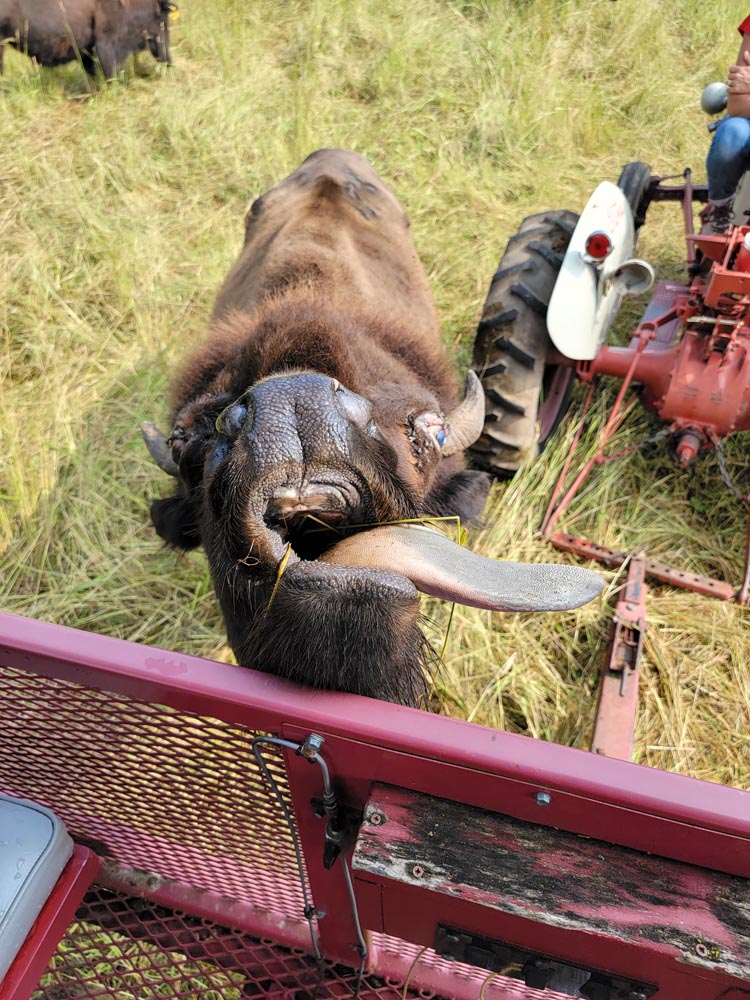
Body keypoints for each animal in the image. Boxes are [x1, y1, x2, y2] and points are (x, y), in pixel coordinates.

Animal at [0, 0, 177, 78]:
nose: (169, 61)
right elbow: (109, 70)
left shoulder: (86, 48)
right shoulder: (106, 43)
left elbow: (91, 69)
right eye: (162, 20)